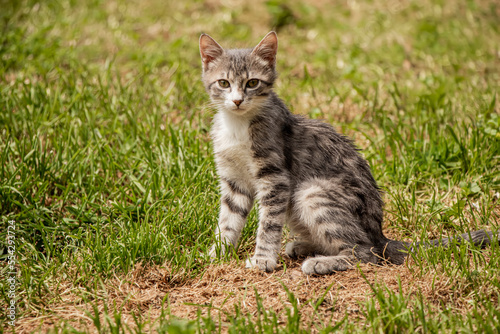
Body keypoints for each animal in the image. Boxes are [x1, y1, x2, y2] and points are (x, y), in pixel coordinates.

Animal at [198, 31, 496, 274]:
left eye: (252, 83)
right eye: (223, 83)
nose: (237, 101)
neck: (237, 125)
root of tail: (380, 234)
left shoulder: (275, 178)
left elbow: (269, 223)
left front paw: (263, 259)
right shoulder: (233, 180)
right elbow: (228, 219)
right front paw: (217, 252)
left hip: (312, 193)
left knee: (366, 253)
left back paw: (321, 262)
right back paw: (306, 246)